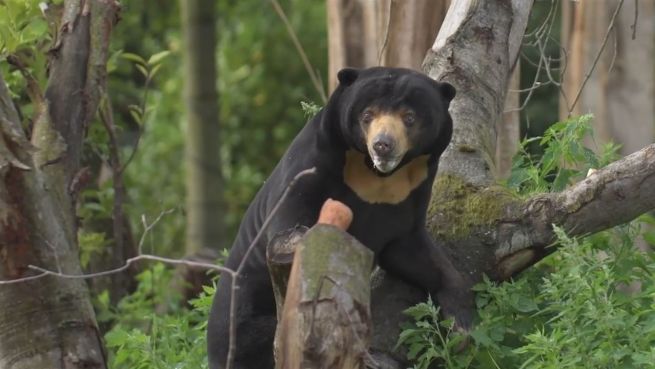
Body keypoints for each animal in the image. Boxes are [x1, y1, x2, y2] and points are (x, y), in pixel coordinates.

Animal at [208, 67, 474, 368]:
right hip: (248, 327)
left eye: (409, 117)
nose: (382, 145)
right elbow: (296, 225)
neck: (377, 177)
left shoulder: (409, 197)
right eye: (367, 115)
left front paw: (462, 325)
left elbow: (412, 252)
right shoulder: (309, 169)